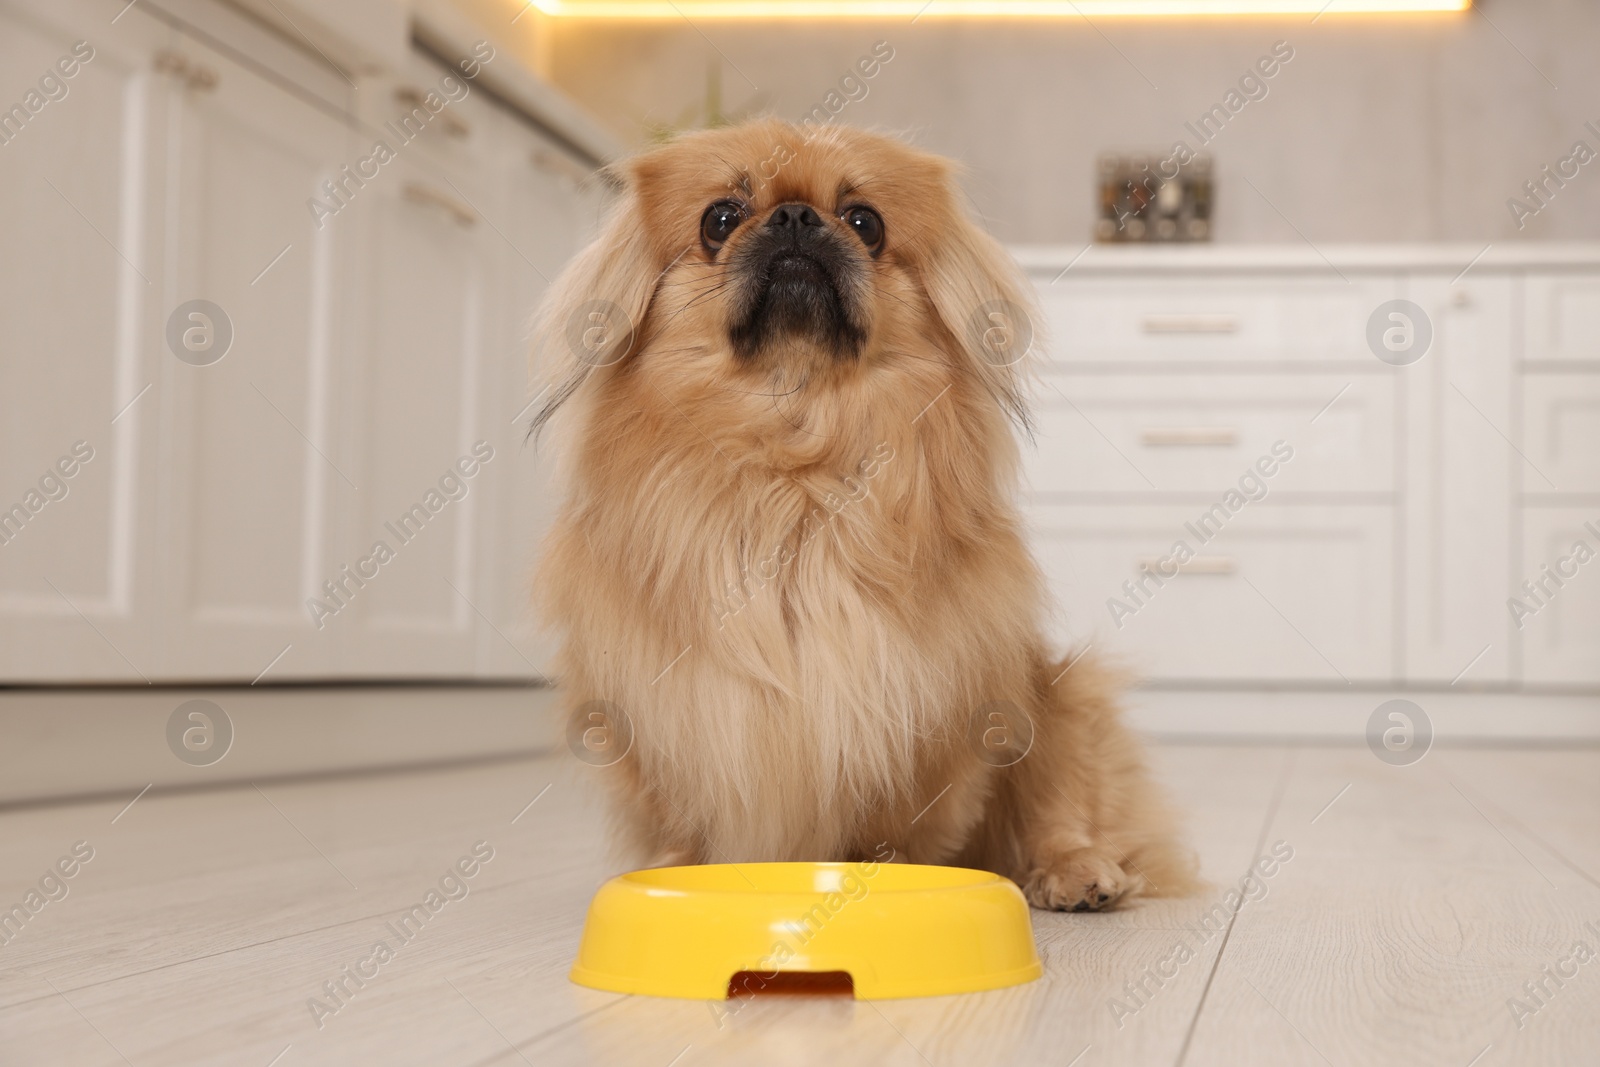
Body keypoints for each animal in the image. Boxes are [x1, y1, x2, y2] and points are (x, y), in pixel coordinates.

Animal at [531, 123, 1196, 908]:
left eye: (864, 222)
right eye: (720, 219)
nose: (794, 218)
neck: (796, 456)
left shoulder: (925, 711)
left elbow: (900, 824)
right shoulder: (663, 711)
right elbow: (681, 817)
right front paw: (677, 877)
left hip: (1060, 697)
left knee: (1062, 807)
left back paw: (1075, 871)